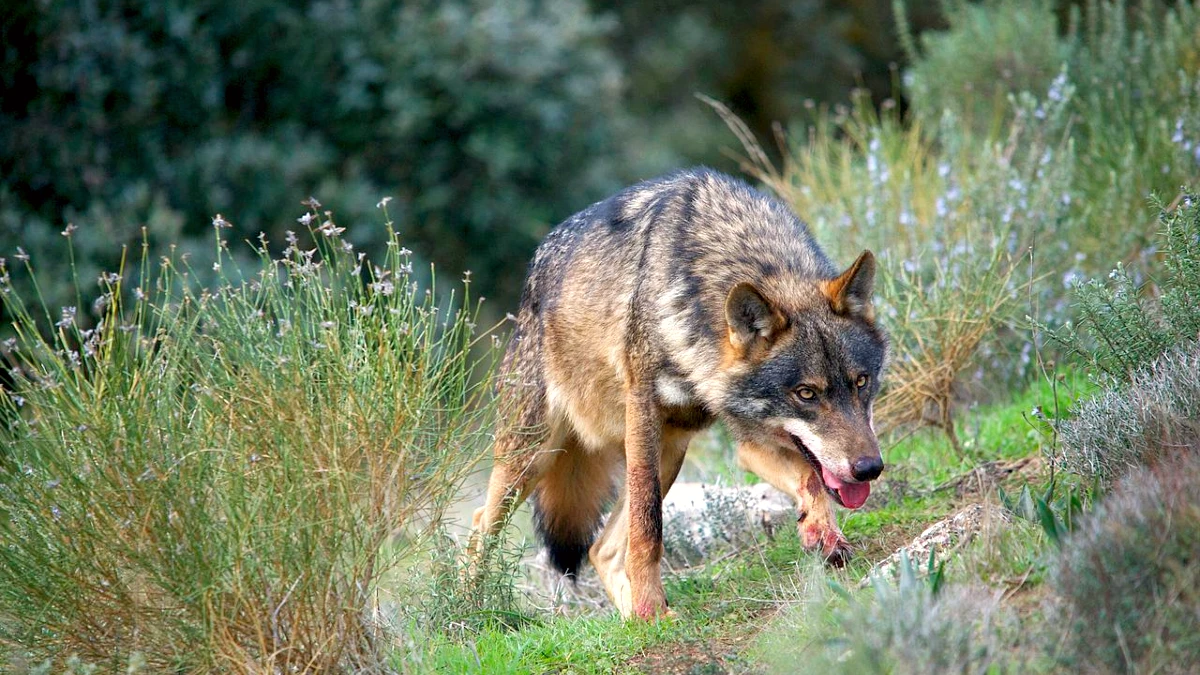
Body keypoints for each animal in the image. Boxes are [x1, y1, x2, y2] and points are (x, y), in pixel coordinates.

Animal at [470, 168, 888, 619]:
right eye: (806, 393)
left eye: (861, 382)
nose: (869, 468)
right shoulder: (643, 414)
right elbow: (648, 529)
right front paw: (651, 605)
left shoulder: (749, 439)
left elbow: (810, 478)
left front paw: (822, 534)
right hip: (534, 457)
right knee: (480, 525)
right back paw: (470, 609)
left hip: (669, 452)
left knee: (601, 549)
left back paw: (636, 621)